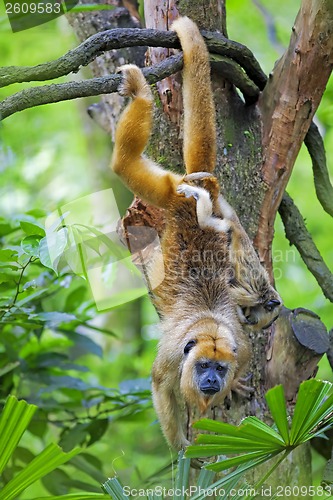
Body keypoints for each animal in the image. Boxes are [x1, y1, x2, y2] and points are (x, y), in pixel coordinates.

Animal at [111, 17, 280, 452]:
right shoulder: (173, 356)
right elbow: (160, 389)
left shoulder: (239, 347)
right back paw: (139, 92)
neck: (207, 330)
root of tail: (193, 187)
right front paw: (181, 450)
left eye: (218, 367)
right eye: (203, 365)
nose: (211, 380)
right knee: (123, 164)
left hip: (179, 191)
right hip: (168, 192)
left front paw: (231, 389)